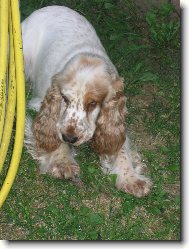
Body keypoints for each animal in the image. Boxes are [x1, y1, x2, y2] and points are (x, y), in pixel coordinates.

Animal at [22, 4, 152, 197]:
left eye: (92, 103)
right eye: (65, 99)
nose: (69, 138)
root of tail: (51, 6)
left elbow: (120, 150)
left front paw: (131, 179)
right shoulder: (42, 104)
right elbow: (54, 130)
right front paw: (63, 162)